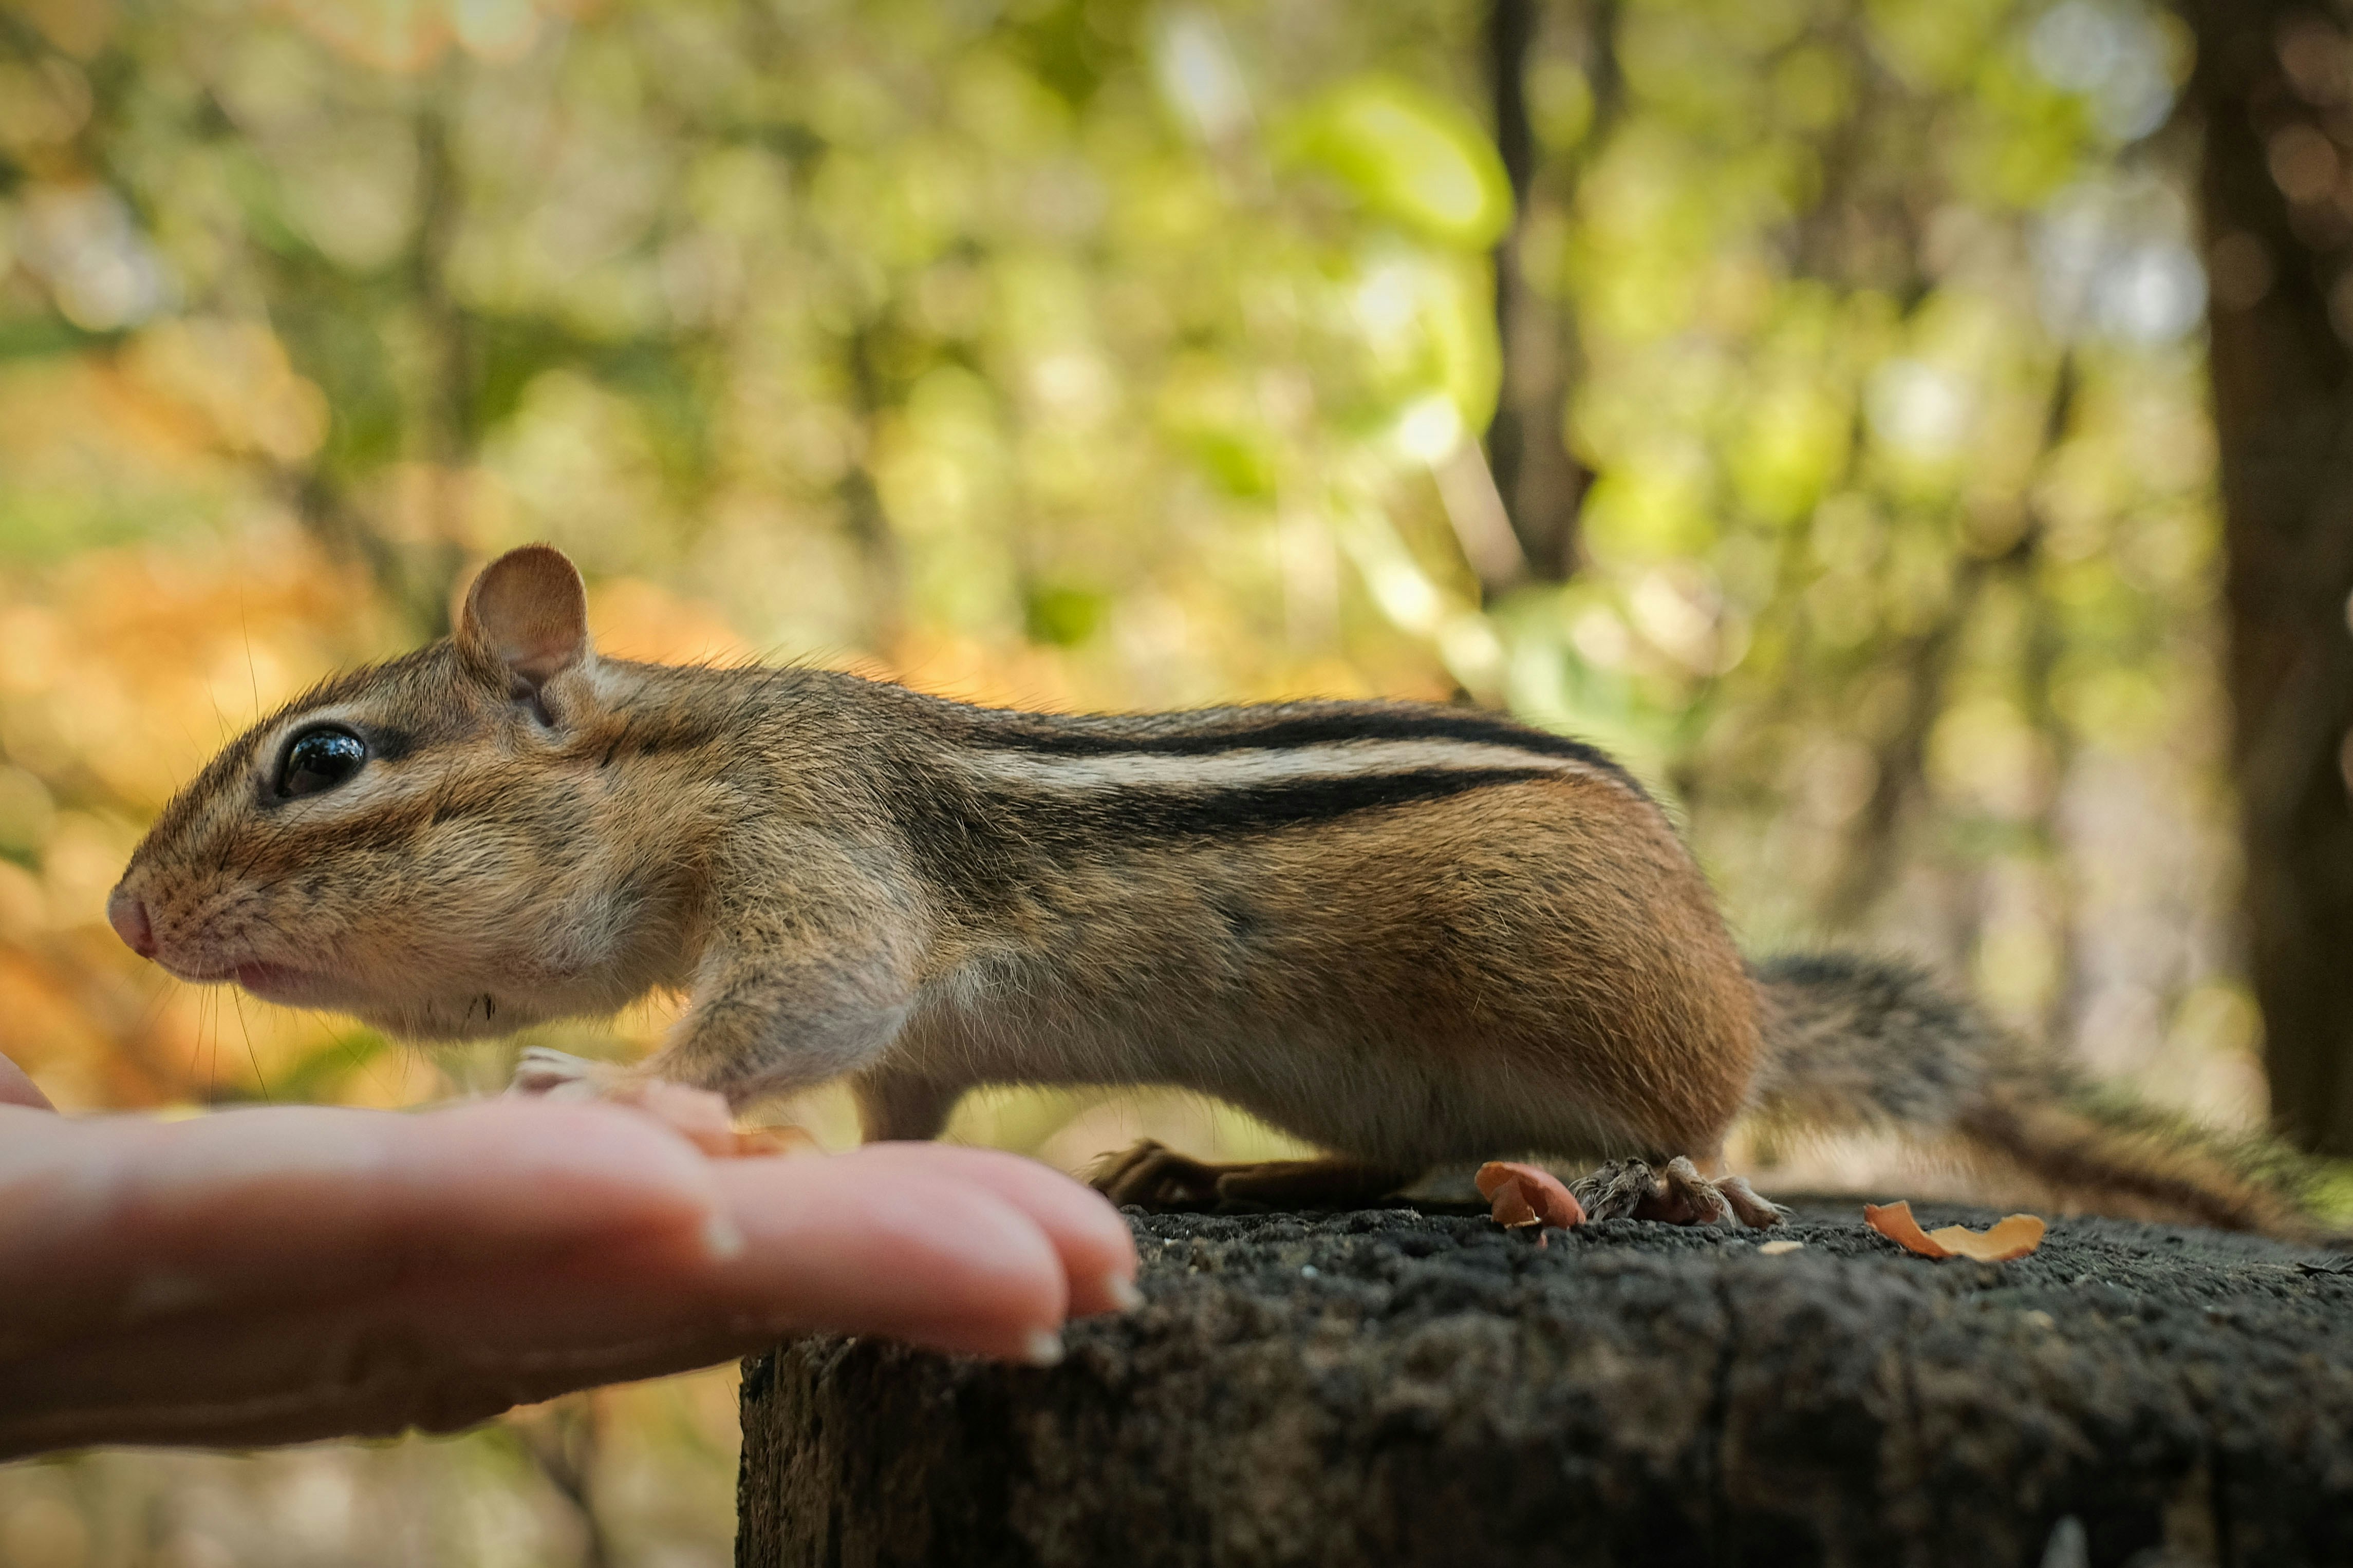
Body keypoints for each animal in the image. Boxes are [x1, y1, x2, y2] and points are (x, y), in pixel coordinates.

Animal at [104, 544, 2315, 1235]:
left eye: (322, 762)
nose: (125, 920)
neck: (684, 762)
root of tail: (1743, 979)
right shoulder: (907, 1021)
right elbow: (899, 1094)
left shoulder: (821, 861)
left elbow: (804, 1007)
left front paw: (619, 1091)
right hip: (1380, 1074)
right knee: (1390, 1155)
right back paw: (1215, 1167)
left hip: (1593, 991)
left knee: (1700, 1120)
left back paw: (1641, 1175)